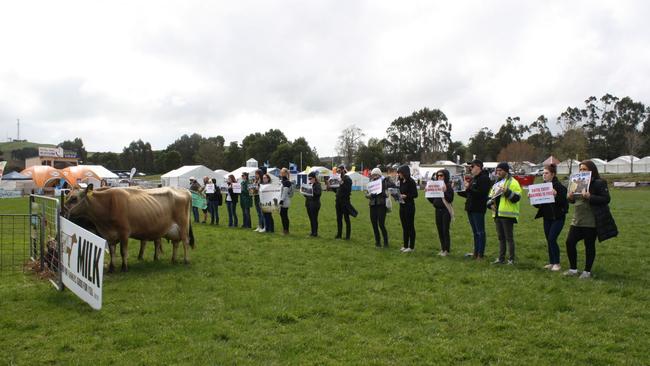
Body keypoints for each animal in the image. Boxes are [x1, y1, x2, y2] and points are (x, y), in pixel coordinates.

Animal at [64, 186, 194, 272]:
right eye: (67, 196)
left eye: (74, 198)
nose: (63, 211)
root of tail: (183, 190)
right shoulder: (109, 236)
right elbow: (112, 251)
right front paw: (111, 268)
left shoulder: (124, 232)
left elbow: (123, 251)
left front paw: (124, 267)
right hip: (174, 231)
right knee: (176, 244)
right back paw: (173, 260)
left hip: (182, 225)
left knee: (185, 242)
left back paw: (186, 260)